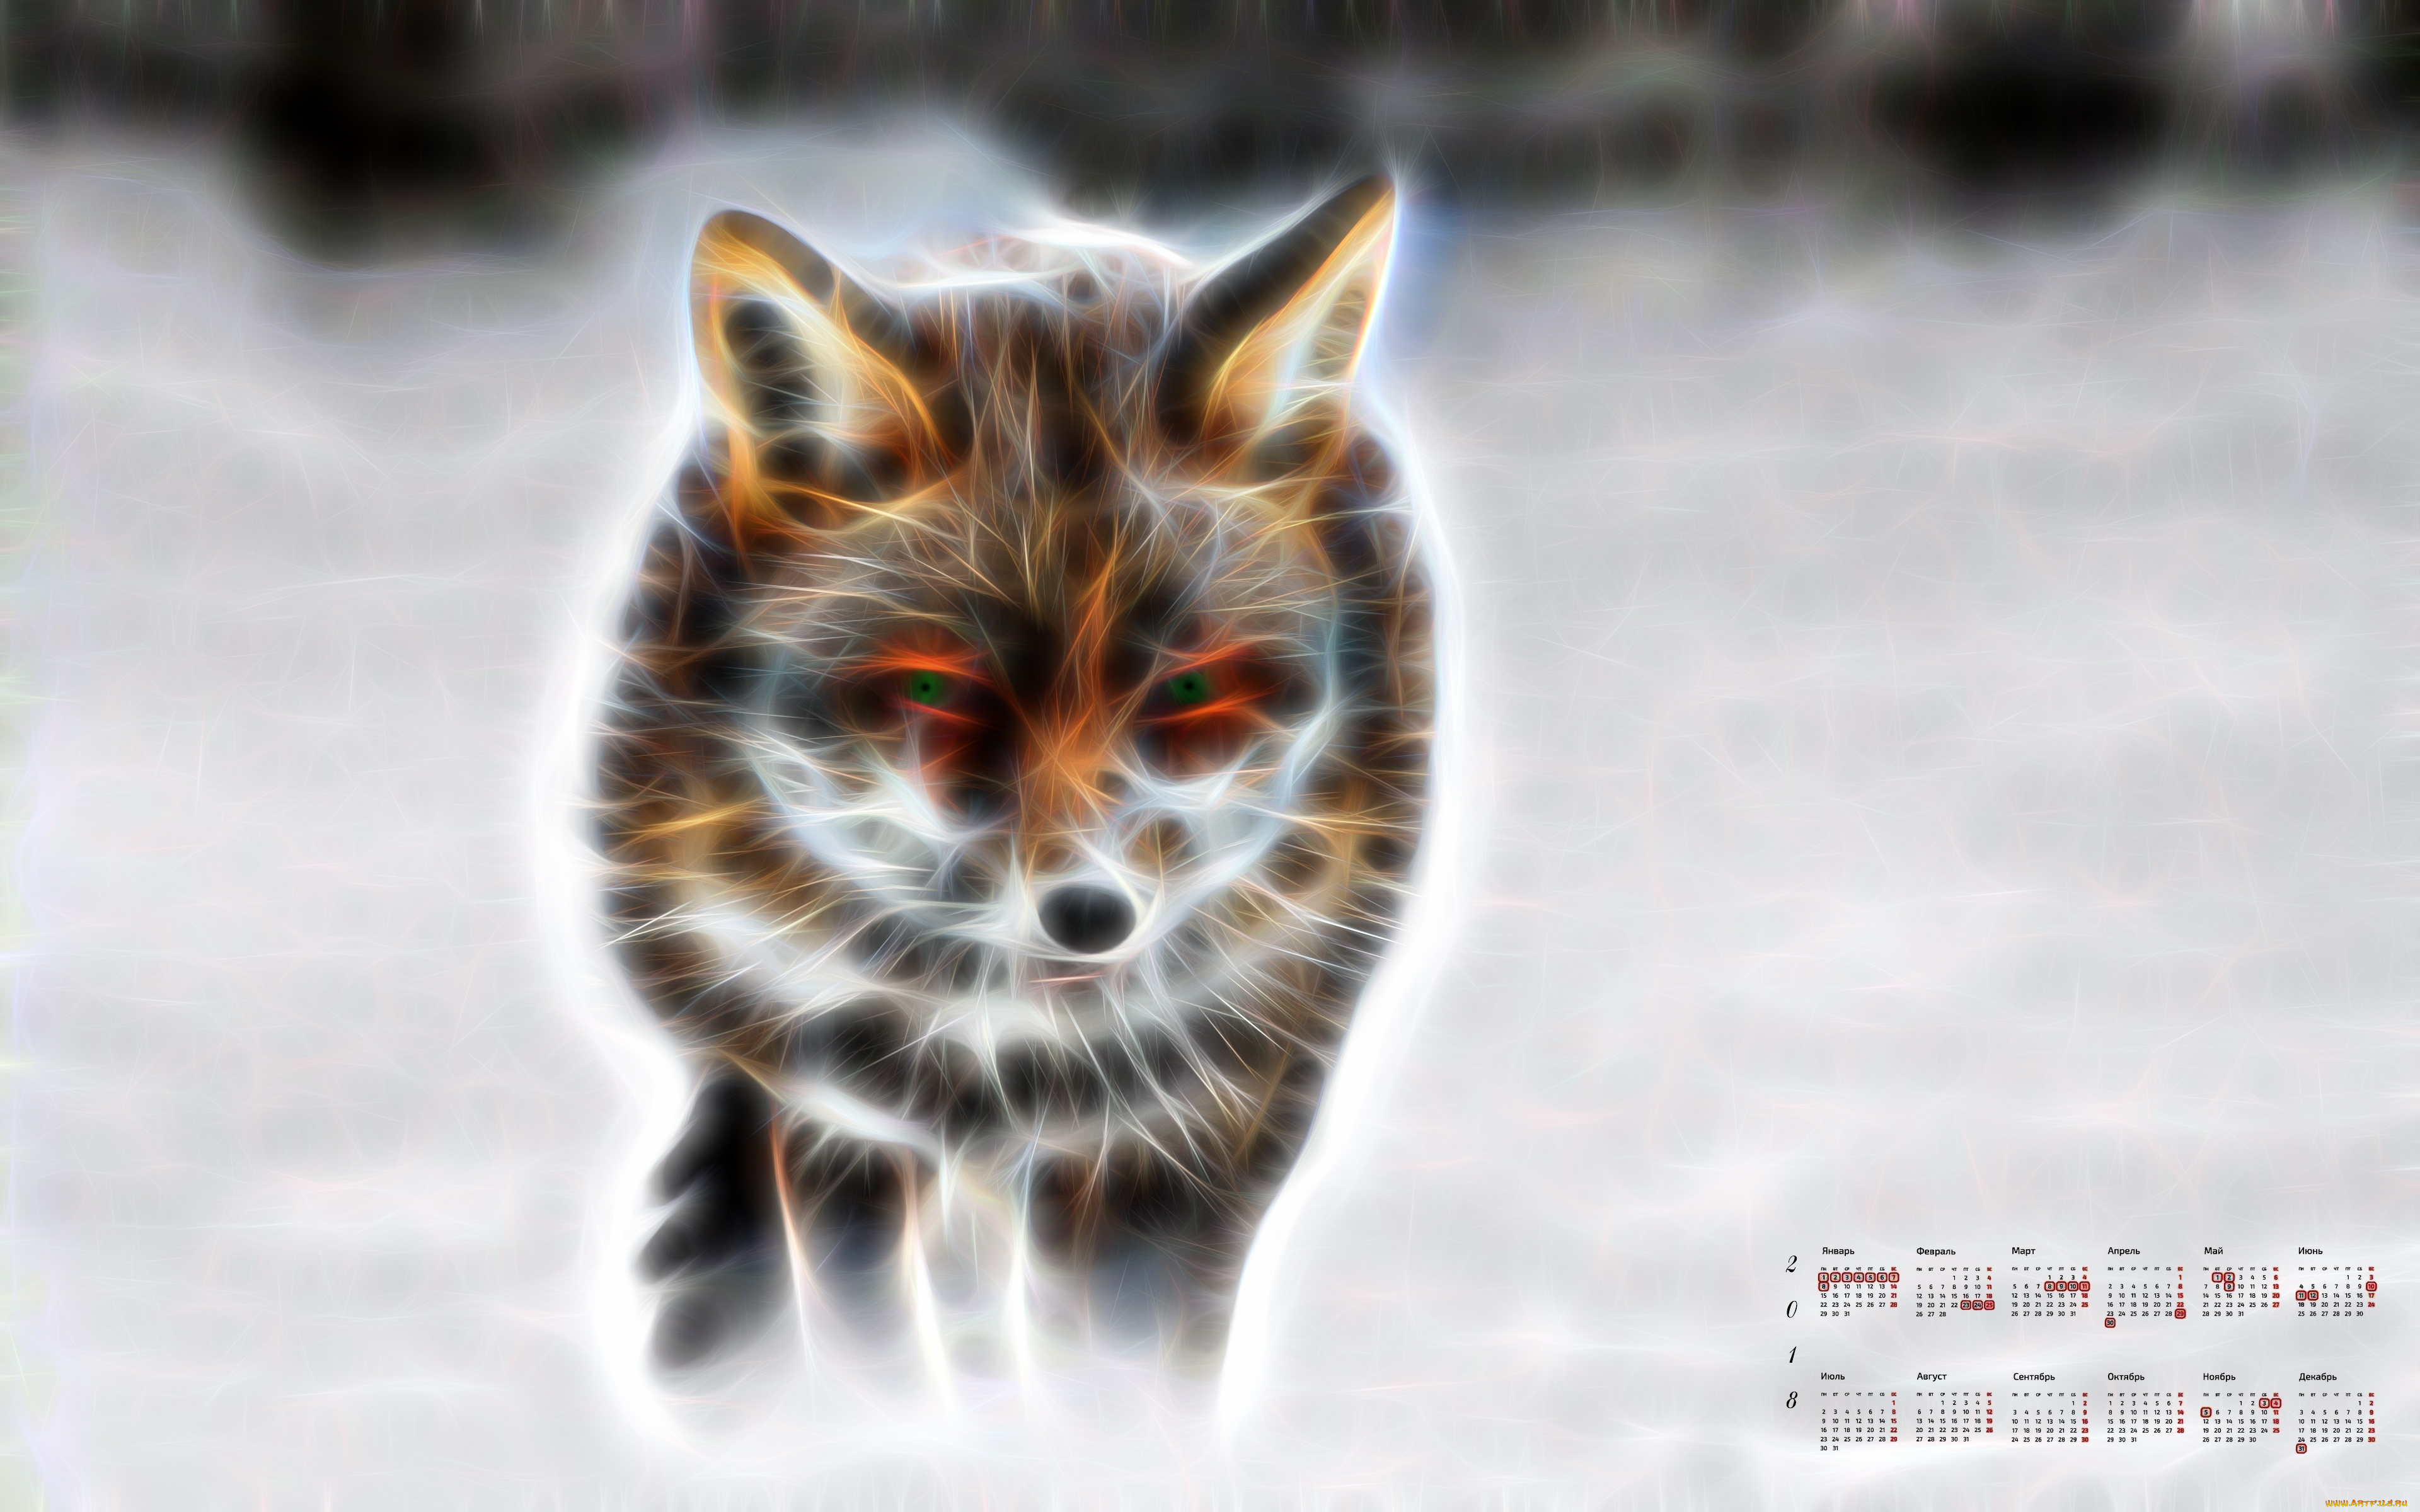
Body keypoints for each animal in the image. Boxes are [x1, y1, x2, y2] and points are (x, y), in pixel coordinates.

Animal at [595, 175, 1434, 1375]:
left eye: (1188, 687)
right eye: (936, 689)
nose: (1089, 916)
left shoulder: (1181, 1140)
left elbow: (1122, 1368)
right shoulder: (836, 1120)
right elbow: (874, 1351)